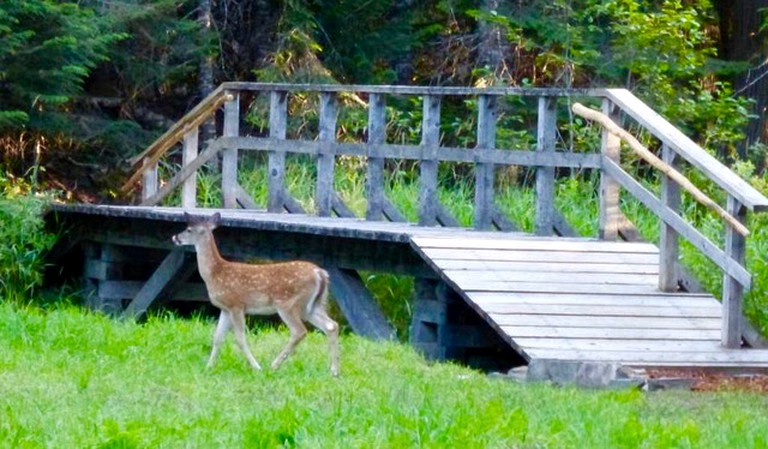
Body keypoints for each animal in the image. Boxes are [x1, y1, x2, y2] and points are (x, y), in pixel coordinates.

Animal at [174, 210, 342, 374]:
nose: (175, 237)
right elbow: (217, 337)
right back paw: (334, 371)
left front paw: (256, 367)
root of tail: (320, 273)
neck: (215, 273)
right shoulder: (225, 308)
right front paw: (209, 367)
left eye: (188, 229)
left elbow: (240, 338)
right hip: (312, 306)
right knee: (331, 326)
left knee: (299, 331)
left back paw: (274, 365)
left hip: (288, 303)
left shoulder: (236, 304)